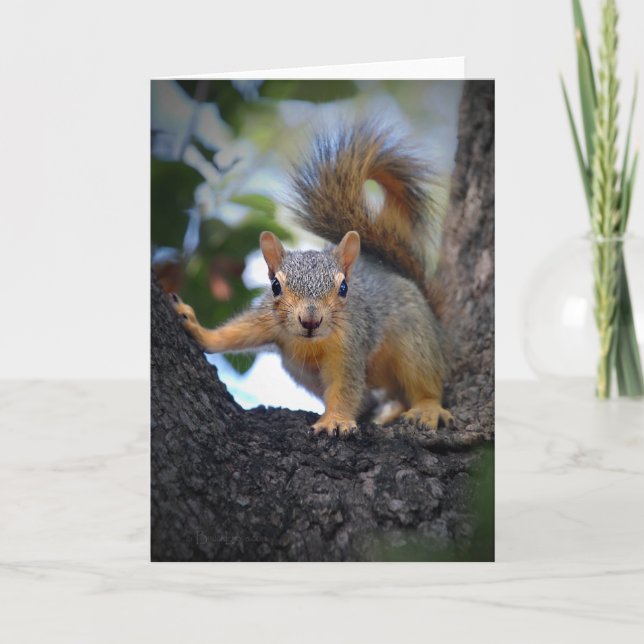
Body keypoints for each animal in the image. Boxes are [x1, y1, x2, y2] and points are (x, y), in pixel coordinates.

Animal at [171, 122, 453, 437]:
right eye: (275, 286)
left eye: (344, 288)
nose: (310, 321)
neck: (310, 343)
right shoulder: (267, 320)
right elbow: (236, 333)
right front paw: (197, 329)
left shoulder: (349, 344)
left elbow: (345, 387)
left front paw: (336, 419)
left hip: (416, 339)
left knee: (423, 382)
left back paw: (427, 408)